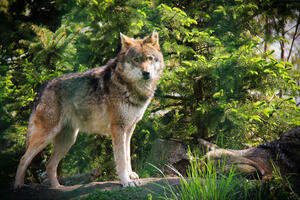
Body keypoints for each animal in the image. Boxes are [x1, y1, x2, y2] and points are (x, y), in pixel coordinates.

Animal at [14, 30, 165, 188]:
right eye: (136, 59)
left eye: (150, 58)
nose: (146, 73)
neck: (130, 87)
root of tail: (43, 86)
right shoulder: (118, 128)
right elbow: (121, 159)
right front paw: (126, 181)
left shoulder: (129, 129)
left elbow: (127, 156)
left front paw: (131, 176)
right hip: (47, 135)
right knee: (23, 159)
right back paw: (18, 186)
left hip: (68, 140)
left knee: (49, 164)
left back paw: (57, 188)